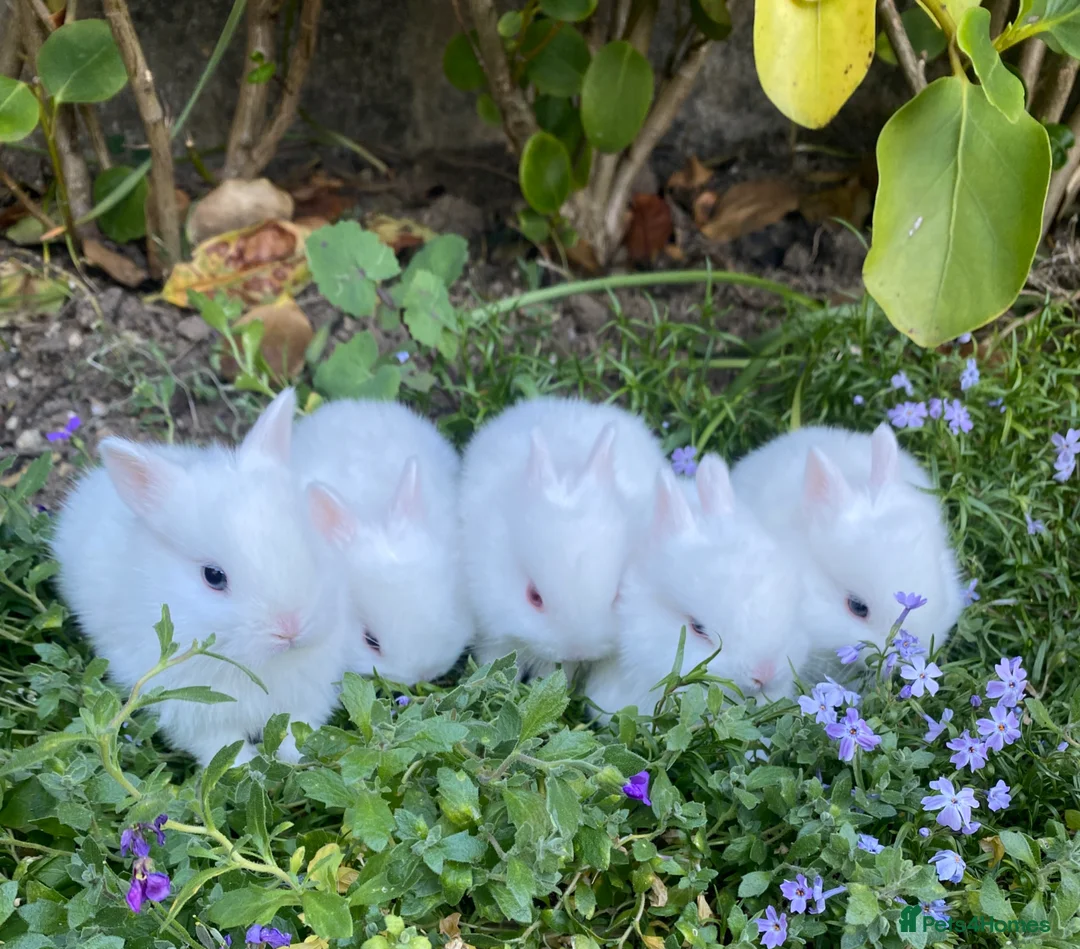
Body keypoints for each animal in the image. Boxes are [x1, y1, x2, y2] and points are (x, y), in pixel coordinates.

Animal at [51, 389, 355, 767]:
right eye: (213, 576)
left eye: (310, 546)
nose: (290, 628)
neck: (260, 668)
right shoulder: (196, 716)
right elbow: (226, 750)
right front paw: (246, 770)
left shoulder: (306, 697)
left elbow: (297, 731)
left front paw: (298, 760)